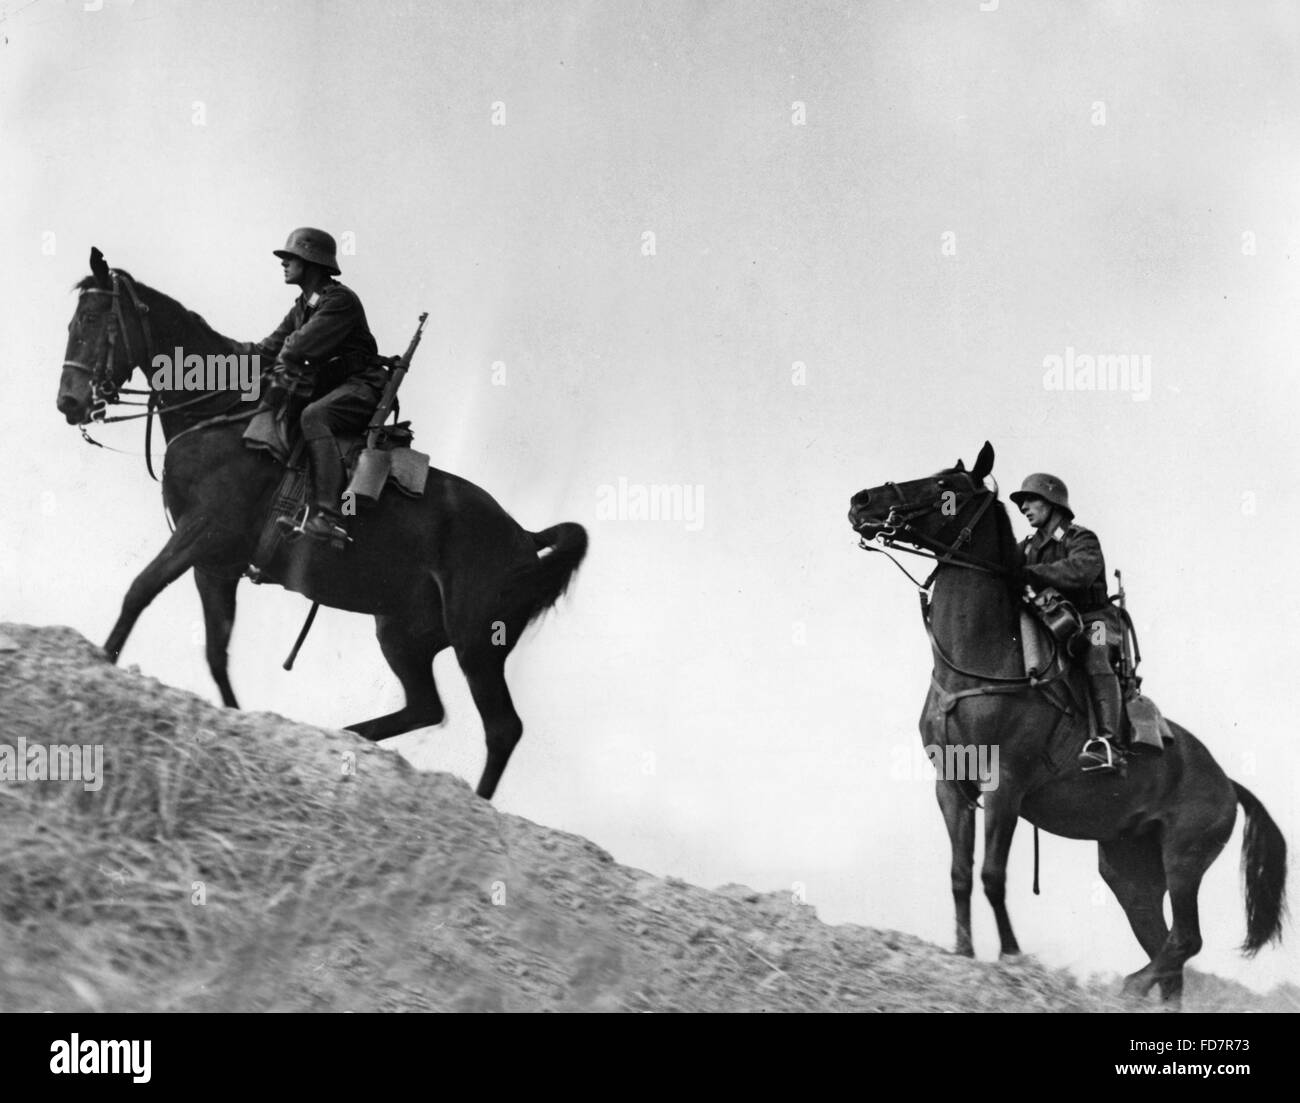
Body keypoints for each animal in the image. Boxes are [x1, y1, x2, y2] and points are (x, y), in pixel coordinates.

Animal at [57, 249, 590, 801]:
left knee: (502, 728)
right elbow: (216, 649)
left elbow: (140, 590)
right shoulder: (214, 564)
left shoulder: (202, 532)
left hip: (477, 644)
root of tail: (525, 538)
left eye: (93, 319)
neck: (223, 414)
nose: (69, 402)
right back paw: (344, 739)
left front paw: (103, 661)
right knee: (426, 707)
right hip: (401, 633)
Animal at [847, 442, 1284, 1009]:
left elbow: (991, 874)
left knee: (1186, 940)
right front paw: (962, 953)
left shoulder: (1006, 785)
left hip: (1184, 860)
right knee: (1168, 948)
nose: (862, 501)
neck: (980, 659)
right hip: (1128, 869)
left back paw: (1129, 984)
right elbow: (961, 873)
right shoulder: (951, 786)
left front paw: (1011, 956)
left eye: (947, 487)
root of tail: (1227, 782)